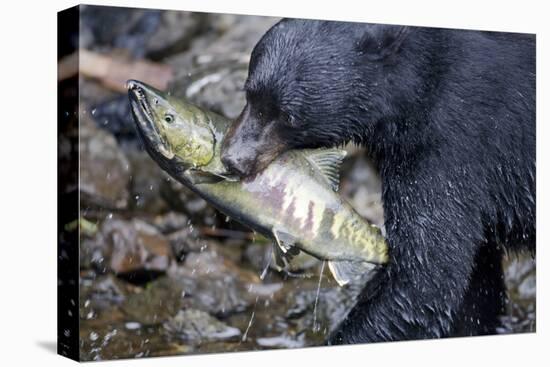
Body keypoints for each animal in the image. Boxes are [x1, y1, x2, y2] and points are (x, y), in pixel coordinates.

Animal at [222, 18, 536, 344]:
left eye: (288, 115)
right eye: (248, 94)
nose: (233, 158)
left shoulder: (450, 146)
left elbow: (424, 276)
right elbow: (475, 281)